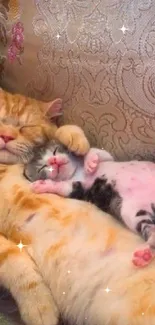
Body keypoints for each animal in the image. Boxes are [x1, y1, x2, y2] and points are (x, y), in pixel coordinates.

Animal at [26, 143, 155, 268]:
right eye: (42, 167)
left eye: (55, 150)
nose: (53, 161)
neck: (76, 173)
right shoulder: (77, 190)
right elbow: (62, 186)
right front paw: (43, 185)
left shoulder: (107, 158)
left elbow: (98, 152)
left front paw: (90, 162)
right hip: (137, 213)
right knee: (151, 230)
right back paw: (145, 254)